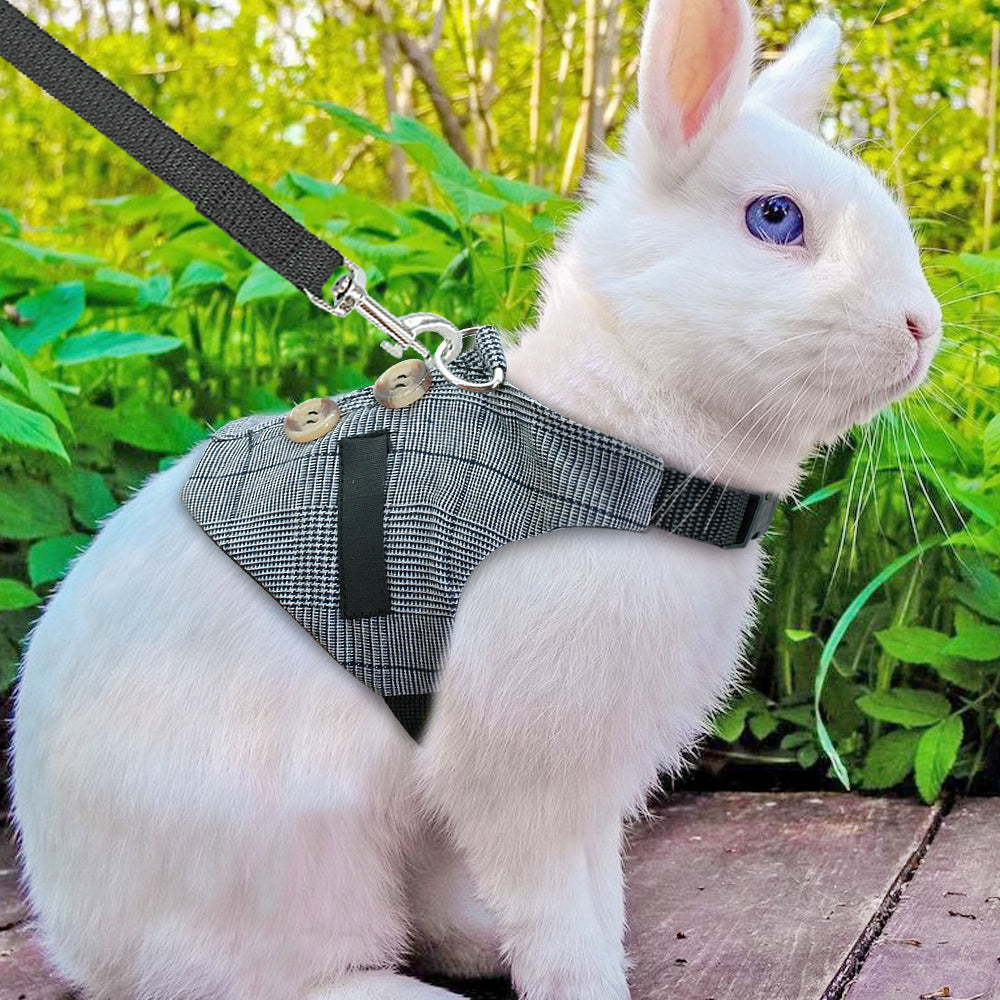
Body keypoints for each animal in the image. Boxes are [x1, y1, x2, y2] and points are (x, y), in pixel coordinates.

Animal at [11, 0, 940, 996]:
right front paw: (590, 987)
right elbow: (565, 918)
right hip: (296, 857)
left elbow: (599, 898)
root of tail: (76, 932)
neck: (620, 443)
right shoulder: (532, 786)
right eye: (775, 216)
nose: (923, 327)